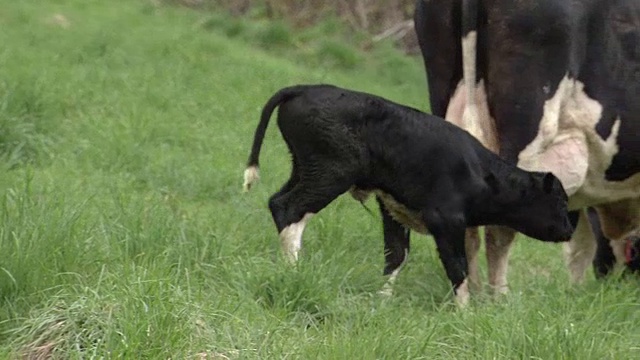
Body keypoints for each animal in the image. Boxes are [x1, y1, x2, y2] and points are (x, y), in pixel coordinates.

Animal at [242, 83, 572, 304]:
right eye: (559, 201)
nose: (569, 229)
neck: (481, 173)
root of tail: (305, 88)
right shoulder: (446, 219)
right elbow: (457, 266)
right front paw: (464, 312)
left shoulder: (393, 209)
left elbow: (396, 255)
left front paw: (383, 300)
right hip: (329, 174)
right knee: (291, 209)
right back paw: (294, 268)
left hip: (304, 168)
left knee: (277, 202)